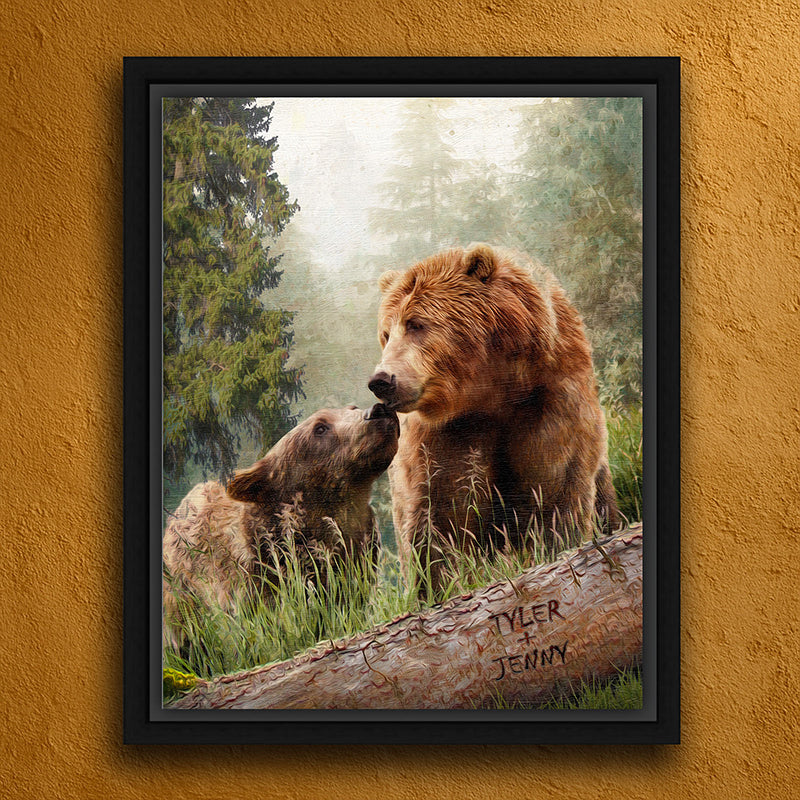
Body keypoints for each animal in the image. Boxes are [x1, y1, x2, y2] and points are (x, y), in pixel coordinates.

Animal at [162, 402, 399, 650]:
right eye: (320, 428)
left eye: (352, 407)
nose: (378, 409)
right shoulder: (258, 573)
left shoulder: (357, 558)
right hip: (183, 588)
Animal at [368, 244, 620, 596]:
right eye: (386, 333)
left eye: (416, 324)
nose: (381, 380)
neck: (491, 390)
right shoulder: (447, 435)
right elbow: (441, 515)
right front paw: (439, 587)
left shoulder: (550, 401)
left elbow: (555, 490)